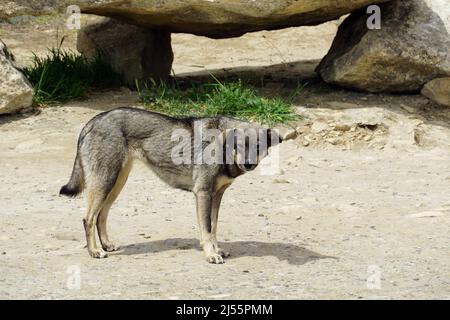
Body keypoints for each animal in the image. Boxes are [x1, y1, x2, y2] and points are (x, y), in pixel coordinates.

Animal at [59, 106, 282, 264]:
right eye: (240, 145)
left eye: (259, 146)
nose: (249, 164)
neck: (222, 147)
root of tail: (93, 120)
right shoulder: (203, 193)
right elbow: (207, 229)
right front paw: (211, 255)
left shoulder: (216, 196)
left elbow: (213, 228)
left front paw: (217, 250)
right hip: (105, 183)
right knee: (88, 218)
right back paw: (95, 251)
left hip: (115, 184)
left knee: (101, 216)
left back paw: (106, 245)